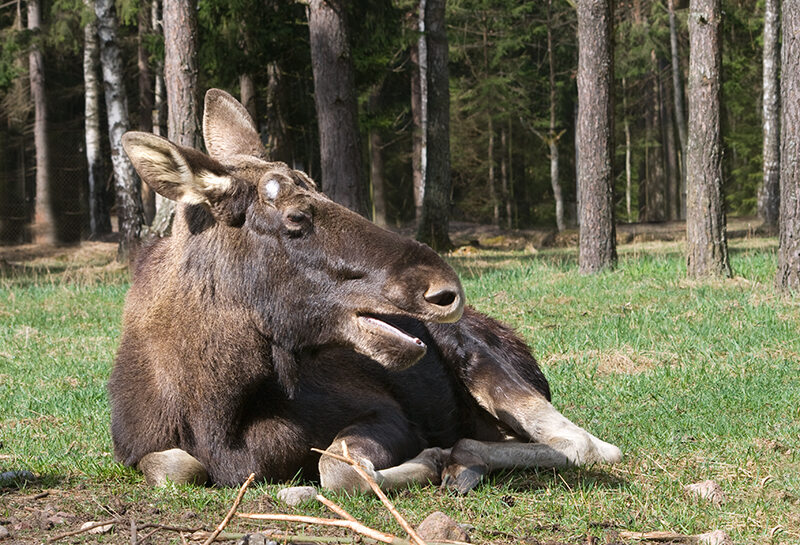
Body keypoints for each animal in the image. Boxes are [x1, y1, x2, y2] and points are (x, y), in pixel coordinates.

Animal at [109, 89, 620, 492]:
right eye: (297, 216)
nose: (445, 290)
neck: (216, 406)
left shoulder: (385, 412)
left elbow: (336, 468)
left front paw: (431, 458)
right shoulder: (136, 448)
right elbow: (175, 466)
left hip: (484, 366)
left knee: (587, 444)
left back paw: (461, 459)